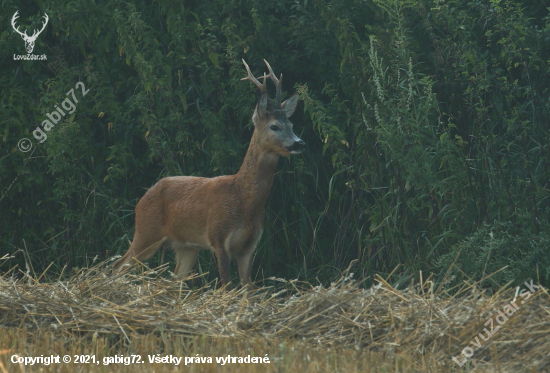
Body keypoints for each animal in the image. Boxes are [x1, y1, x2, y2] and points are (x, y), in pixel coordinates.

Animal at [113, 59, 306, 290]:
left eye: (291, 125)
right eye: (274, 126)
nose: (299, 143)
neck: (245, 200)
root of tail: (142, 198)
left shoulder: (249, 246)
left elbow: (247, 289)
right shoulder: (219, 238)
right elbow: (226, 287)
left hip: (186, 246)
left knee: (174, 280)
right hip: (146, 231)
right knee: (117, 266)